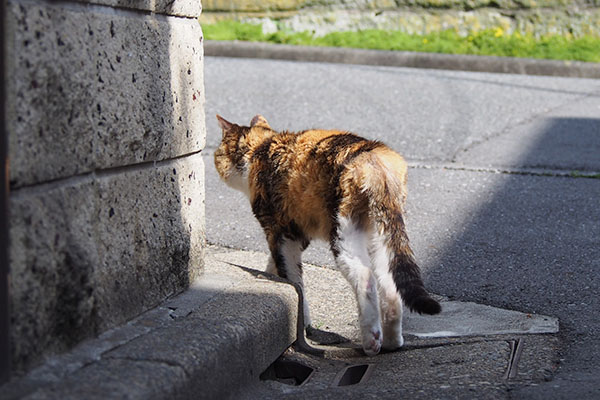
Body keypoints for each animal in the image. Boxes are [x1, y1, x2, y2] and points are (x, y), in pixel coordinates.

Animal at [213, 114, 438, 354]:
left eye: (218, 152)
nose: (215, 161)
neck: (261, 149)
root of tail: (374, 159)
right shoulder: (295, 235)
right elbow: (276, 268)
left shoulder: (281, 234)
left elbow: (294, 281)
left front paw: (302, 324)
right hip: (381, 235)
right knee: (390, 285)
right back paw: (391, 342)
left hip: (344, 232)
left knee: (366, 277)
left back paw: (371, 341)